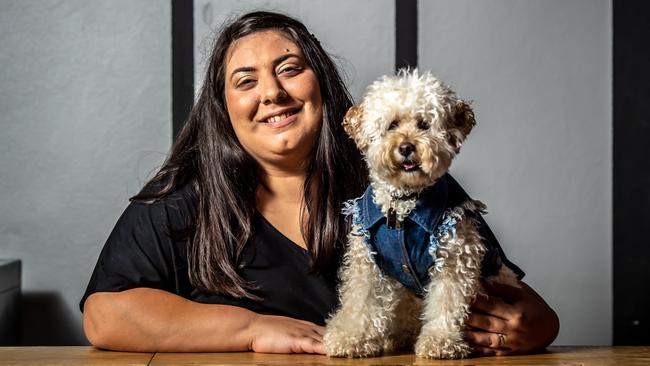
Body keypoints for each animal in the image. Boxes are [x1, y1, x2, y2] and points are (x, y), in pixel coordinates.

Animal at [322, 68, 516, 358]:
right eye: (392, 125)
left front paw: (441, 342)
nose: (406, 147)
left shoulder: (454, 260)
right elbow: (360, 301)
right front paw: (351, 337)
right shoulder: (367, 264)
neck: (403, 205)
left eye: (424, 125)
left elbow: (446, 304)